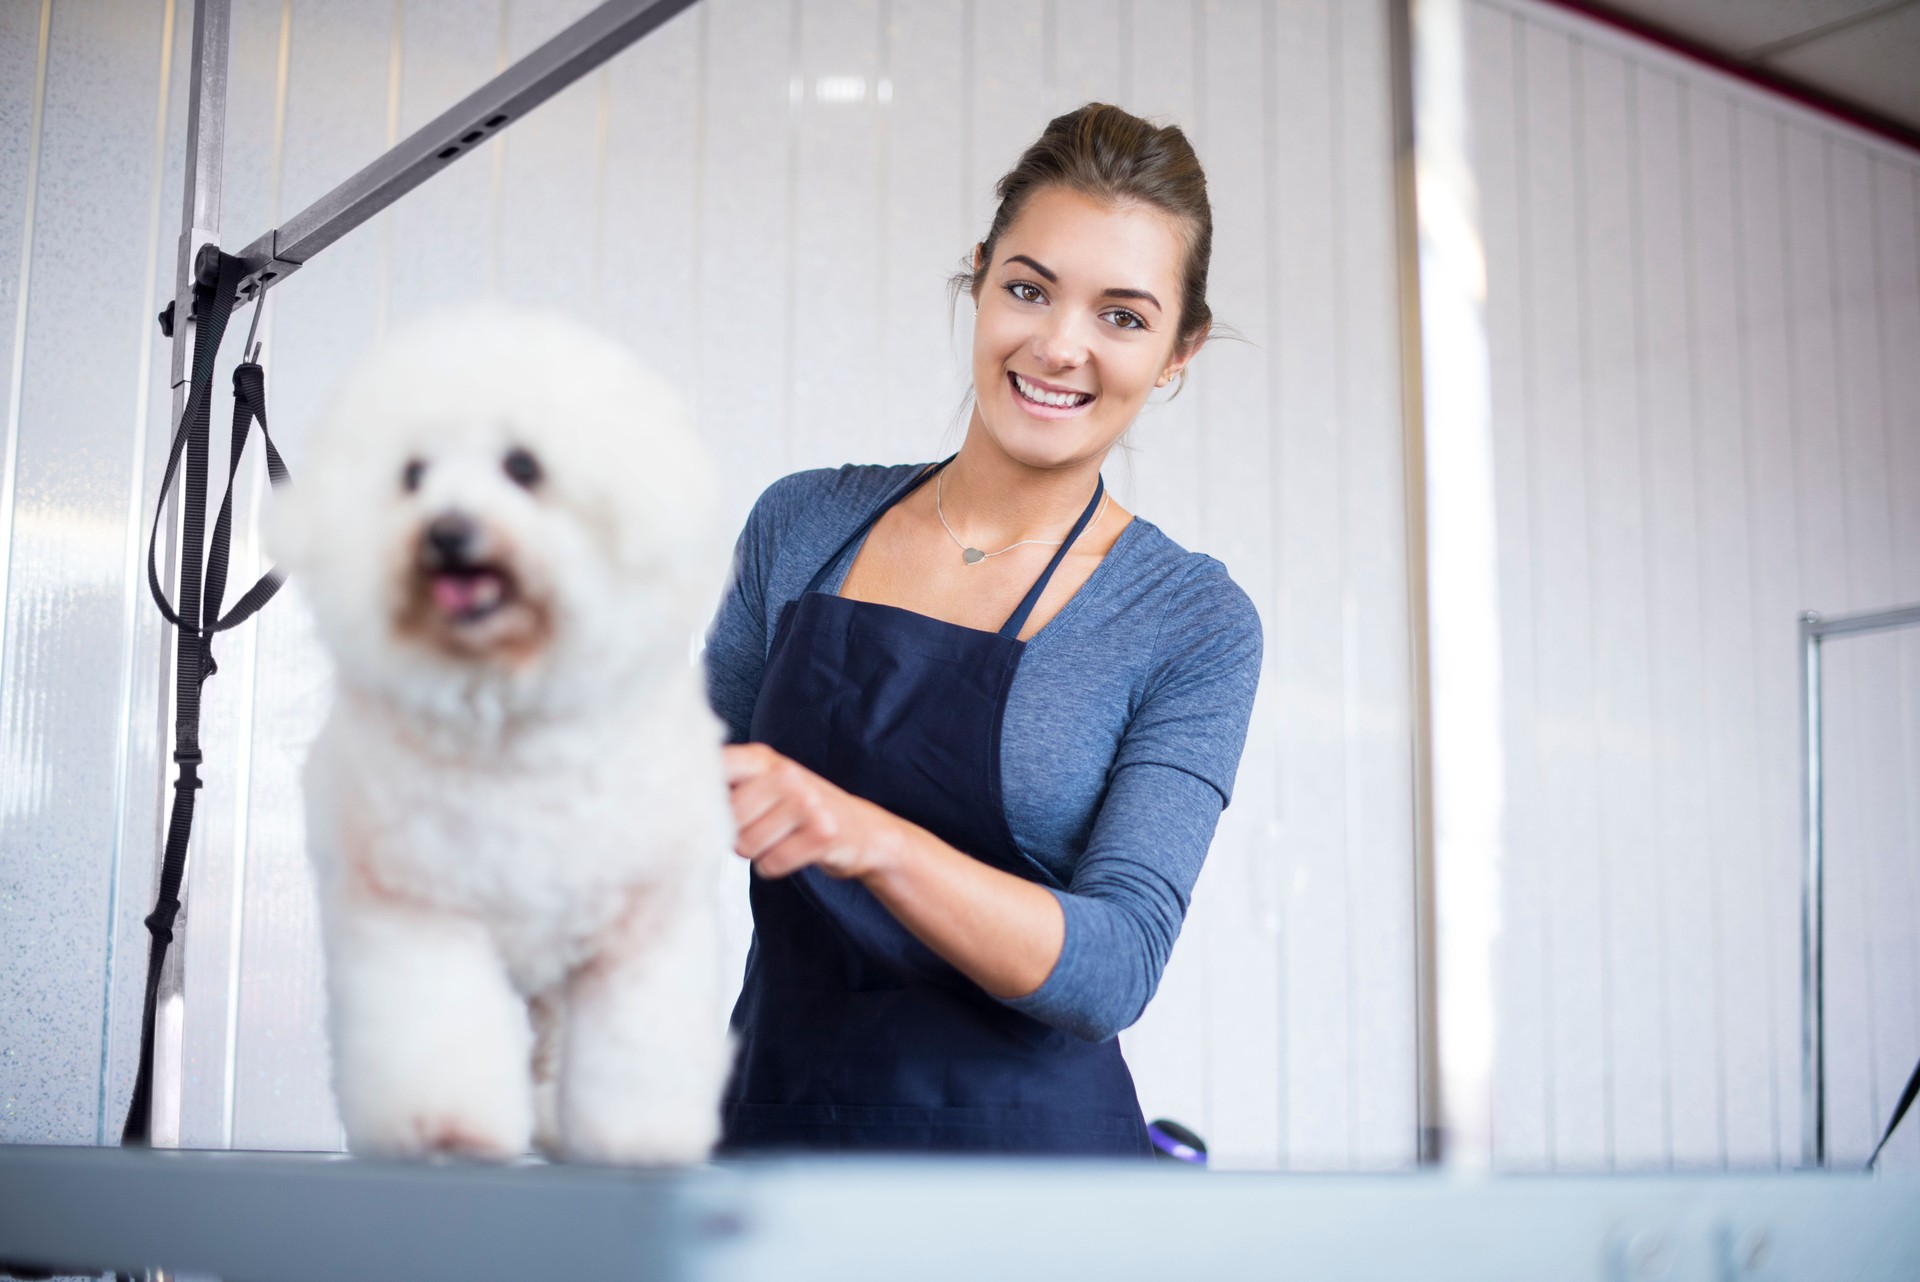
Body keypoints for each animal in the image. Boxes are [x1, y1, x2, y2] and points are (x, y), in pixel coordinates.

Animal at [278, 307, 733, 1159]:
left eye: (523, 466)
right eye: (412, 475)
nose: (448, 531)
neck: (509, 723)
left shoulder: (637, 937)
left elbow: (637, 1057)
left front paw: (637, 1137)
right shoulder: (419, 915)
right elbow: (435, 1032)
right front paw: (443, 1128)